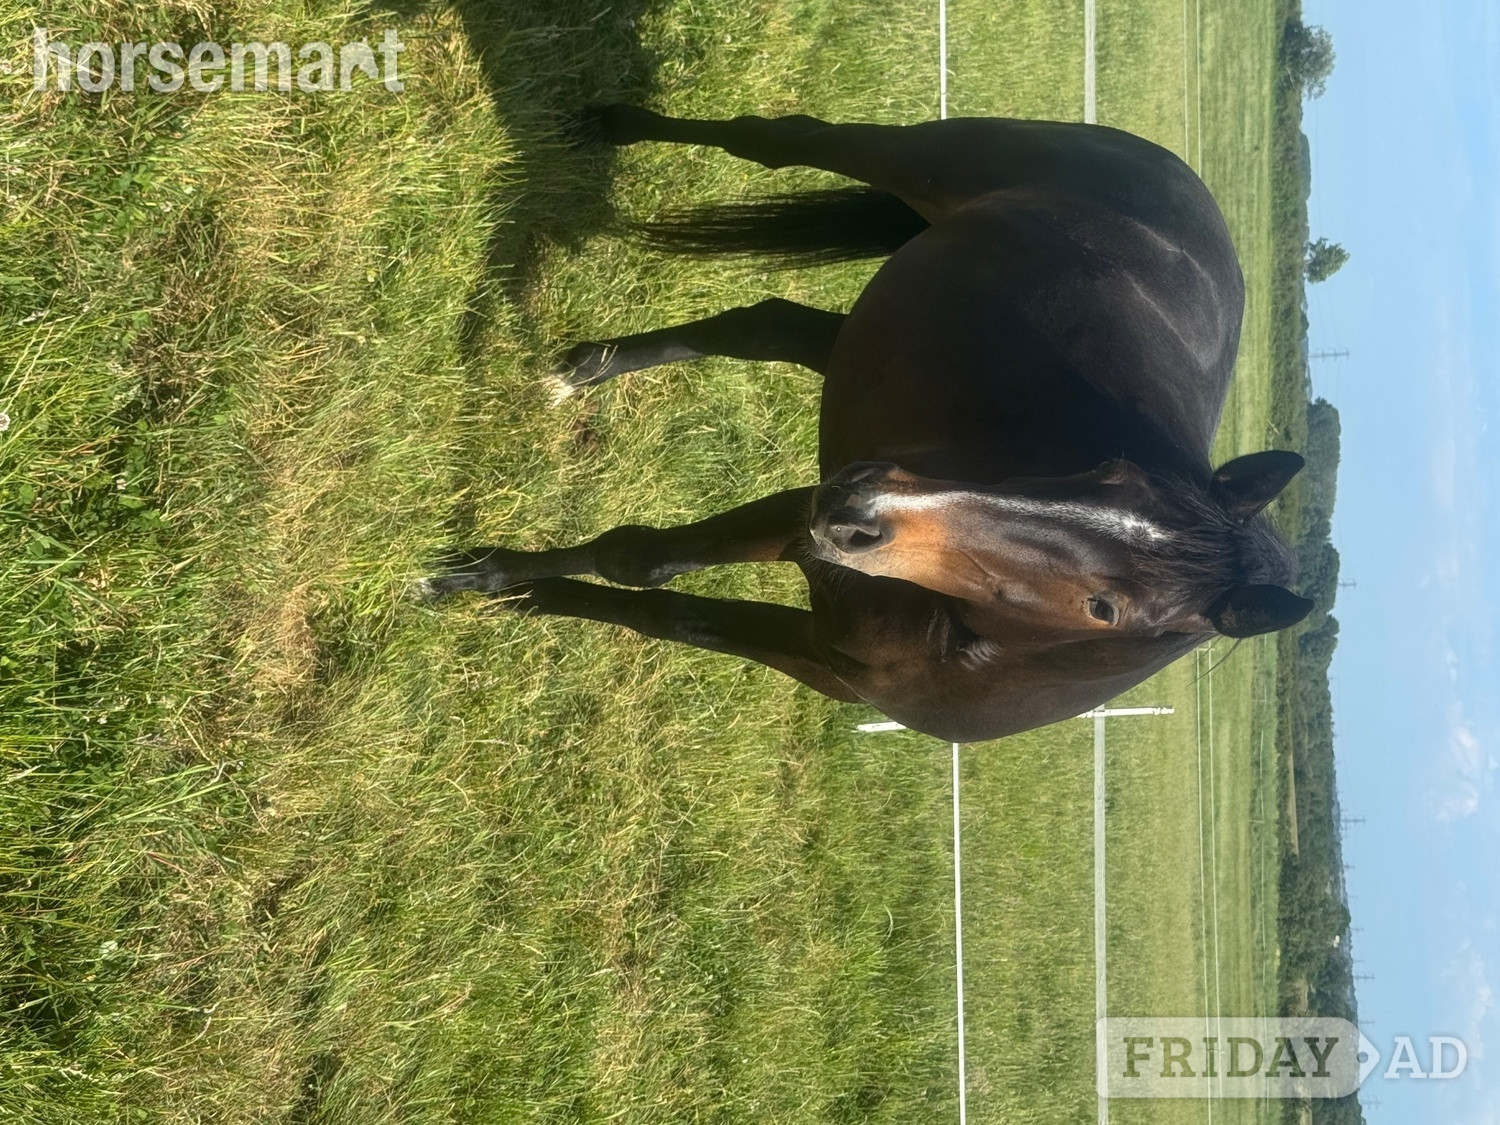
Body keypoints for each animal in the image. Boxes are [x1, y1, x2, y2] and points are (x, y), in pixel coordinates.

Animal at [421, 105, 1313, 743]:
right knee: (781, 139)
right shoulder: (812, 511)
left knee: (766, 326)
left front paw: (517, 595)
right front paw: (478, 576)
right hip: (915, 158)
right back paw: (610, 126)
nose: (861, 510)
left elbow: (662, 603)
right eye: (1105, 469)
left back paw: (587, 367)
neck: (958, 637)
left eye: (1107, 609)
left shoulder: (822, 648)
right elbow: (640, 558)